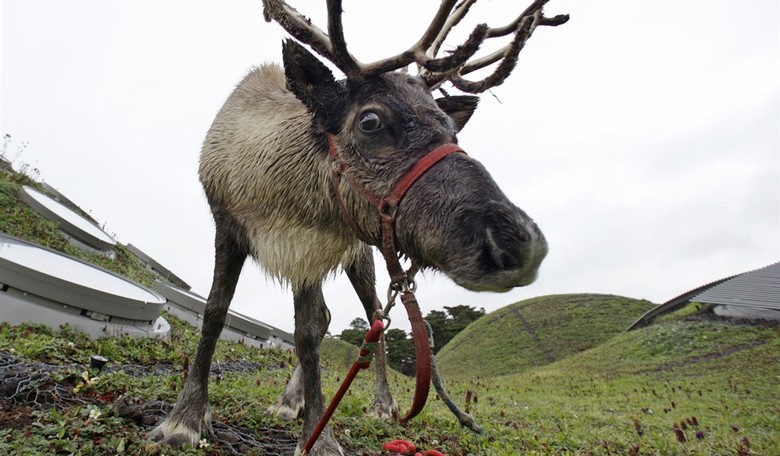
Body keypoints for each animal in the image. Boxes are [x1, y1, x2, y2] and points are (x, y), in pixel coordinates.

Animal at [149, 0, 566, 454]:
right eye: (370, 122)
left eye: (451, 129)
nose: (522, 244)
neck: (277, 196)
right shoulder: (232, 227)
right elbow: (215, 313)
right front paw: (185, 418)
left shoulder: (312, 249)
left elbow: (306, 334)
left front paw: (318, 437)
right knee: (328, 317)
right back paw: (289, 401)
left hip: (362, 254)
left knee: (373, 316)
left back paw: (380, 404)